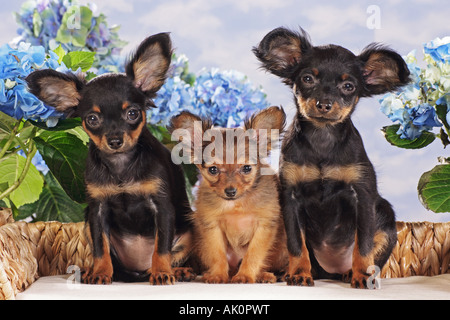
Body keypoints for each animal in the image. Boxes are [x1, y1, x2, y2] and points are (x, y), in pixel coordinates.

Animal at [26, 31, 193, 284]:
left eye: (132, 113)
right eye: (92, 119)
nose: (115, 141)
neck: (121, 165)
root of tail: (139, 271)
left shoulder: (162, 207)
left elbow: (161, 247)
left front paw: (162, 273)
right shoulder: (97, 210)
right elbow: (100, 247)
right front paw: (100, 273)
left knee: (174, 254)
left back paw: (177, 271)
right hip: (87, 221)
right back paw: (89, 271)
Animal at [255, 27, 410, 288]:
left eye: (348, 86)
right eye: (307, 79)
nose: (324, 104)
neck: (322, 137)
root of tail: (332, 271)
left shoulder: (363, 196)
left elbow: (364, 244)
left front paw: (362, 276)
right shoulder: (290, 197)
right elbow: (296, 245)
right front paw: (299, 274)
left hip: (385, 216)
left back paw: (351, 273)